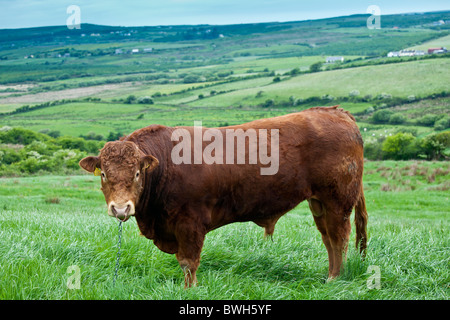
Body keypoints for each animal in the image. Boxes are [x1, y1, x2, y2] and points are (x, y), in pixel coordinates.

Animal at [80, 105, 370, 288]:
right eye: (103, 173)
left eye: (138, 173)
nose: (120, 209)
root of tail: (336, 112)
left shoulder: (190, 223)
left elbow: (188, 263)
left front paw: (190, 290)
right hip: (319, 202)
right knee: (328, 239)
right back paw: (330, 277)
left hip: (337, 200)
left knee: (339, 239)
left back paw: (335, 279)